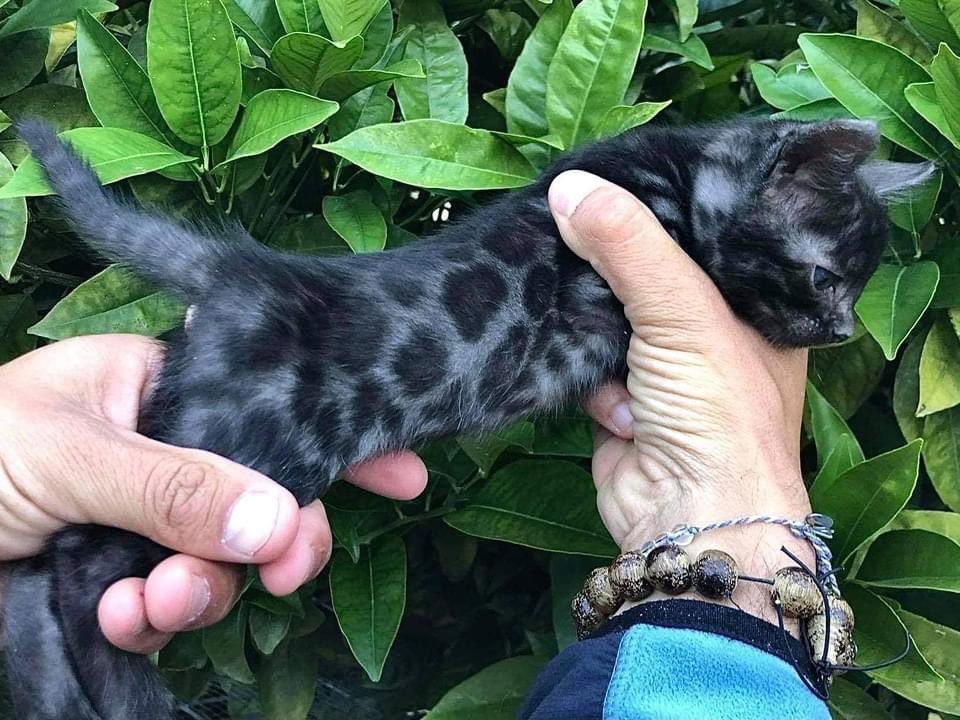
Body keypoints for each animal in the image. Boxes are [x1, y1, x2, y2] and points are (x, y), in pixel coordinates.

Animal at [0, 115, 928, 716]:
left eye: (859, 284)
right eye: (825, 277)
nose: (844, 331)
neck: (675, 167)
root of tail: (240, 271)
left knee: (31, 580)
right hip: (244, 448)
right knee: (76, 560)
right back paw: (120, 696)